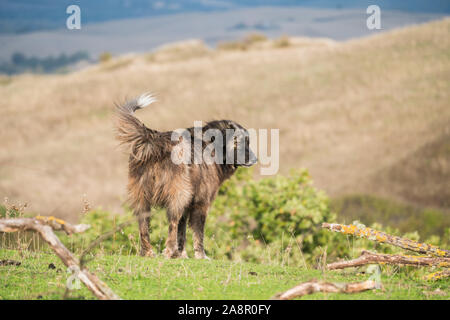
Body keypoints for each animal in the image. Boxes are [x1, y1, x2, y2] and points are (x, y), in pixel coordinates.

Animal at [115, 93, 256, 258]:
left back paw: (148, 253)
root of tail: (154, 138)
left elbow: (182, 232)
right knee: (172, 224)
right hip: (177, 195)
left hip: (142, 197)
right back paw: (168, 251)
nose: (255, 159)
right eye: (240, 142)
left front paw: (181, 254)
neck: (213, 147)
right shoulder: (201, 202)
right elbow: (198, 233)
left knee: (144, 226)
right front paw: (200, 255)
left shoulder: (188, 203)